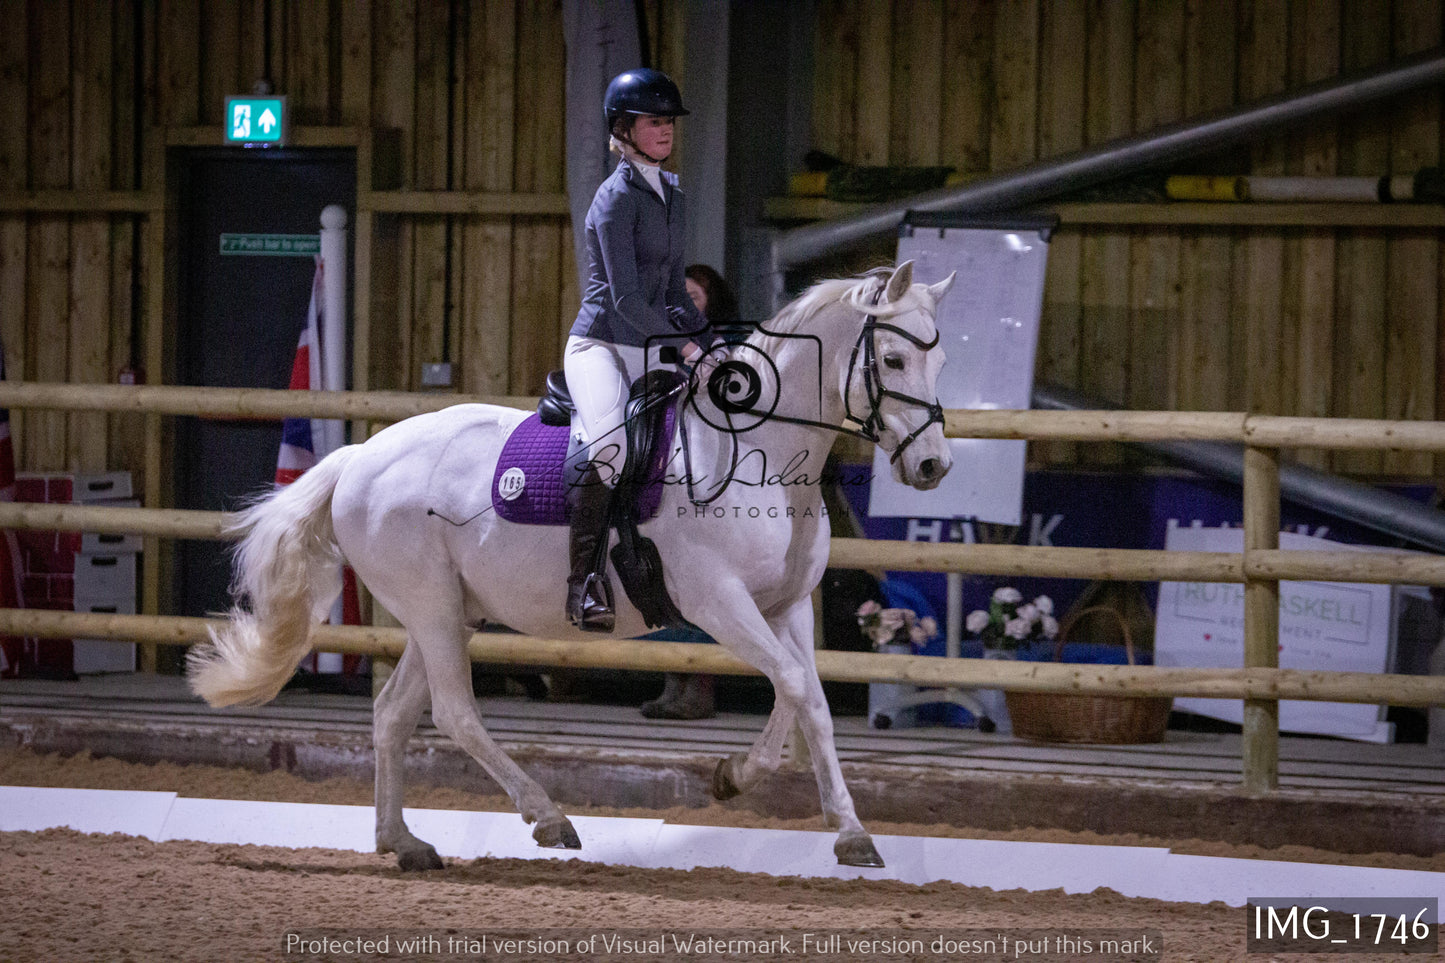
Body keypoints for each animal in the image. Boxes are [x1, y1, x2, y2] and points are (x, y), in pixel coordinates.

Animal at [186, 258, 953, 867]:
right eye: (891, 362)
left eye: (938, 358)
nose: (932, 466)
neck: (758, 455)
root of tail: (357, 457)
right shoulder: (719, 603)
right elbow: (791, 686)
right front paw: (732, 776)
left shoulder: (785, 607)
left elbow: (813, 704)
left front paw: (851, 833)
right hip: (431, 608)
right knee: (455, 712)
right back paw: (548, 817)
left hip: (450, 613)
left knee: (394, 712)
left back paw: (403, 842)